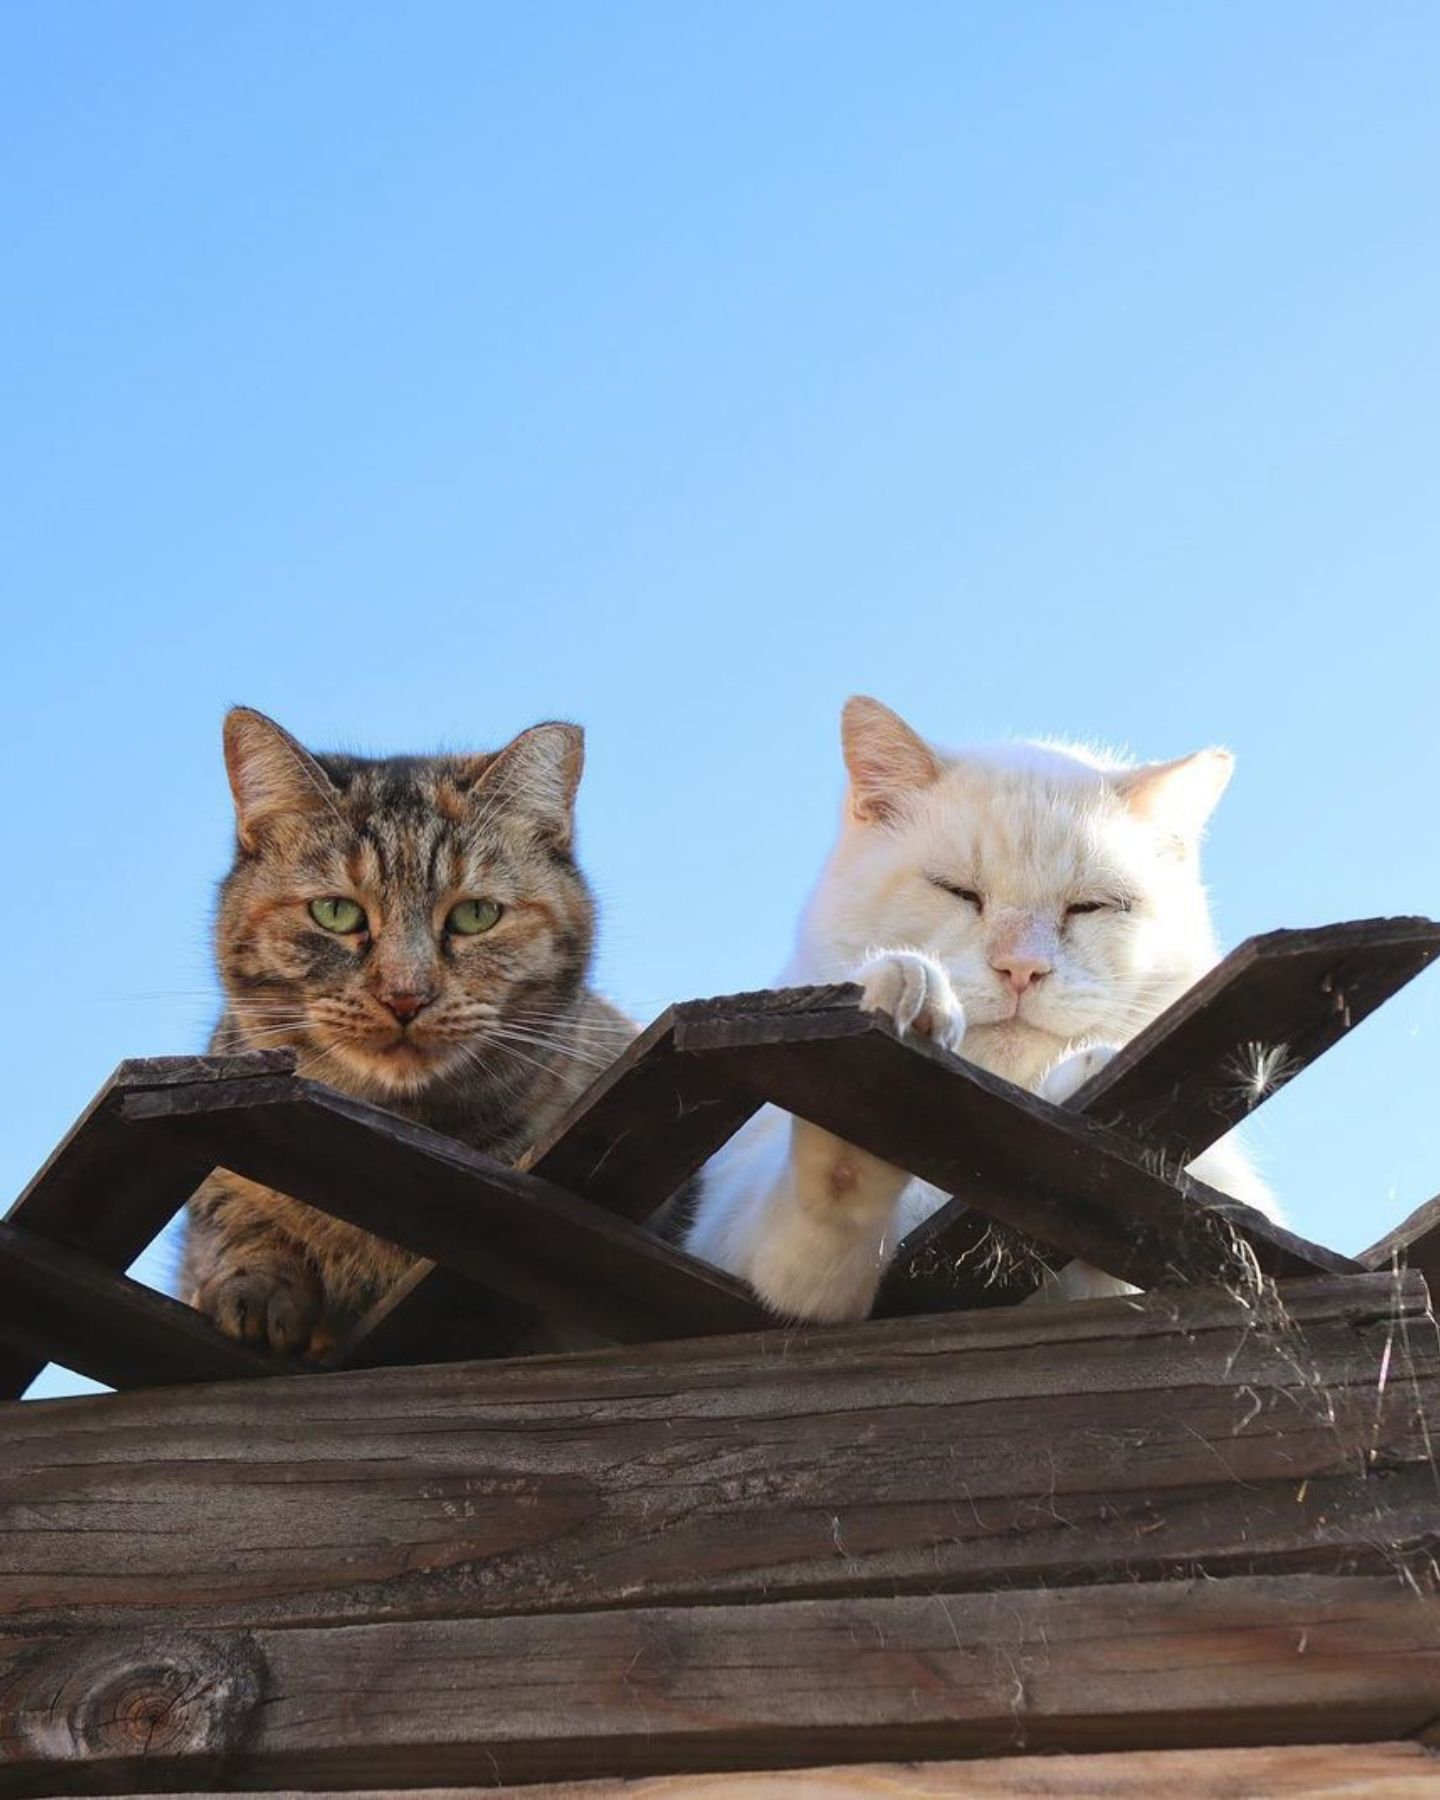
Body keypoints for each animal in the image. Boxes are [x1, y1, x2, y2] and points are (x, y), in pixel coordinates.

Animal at [684, 694, 1274, 1317]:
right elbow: (827, 1204)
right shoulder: (727, 1230)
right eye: (957, 891)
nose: (1021, 968)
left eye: (1090, 906)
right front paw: (891, 1029)